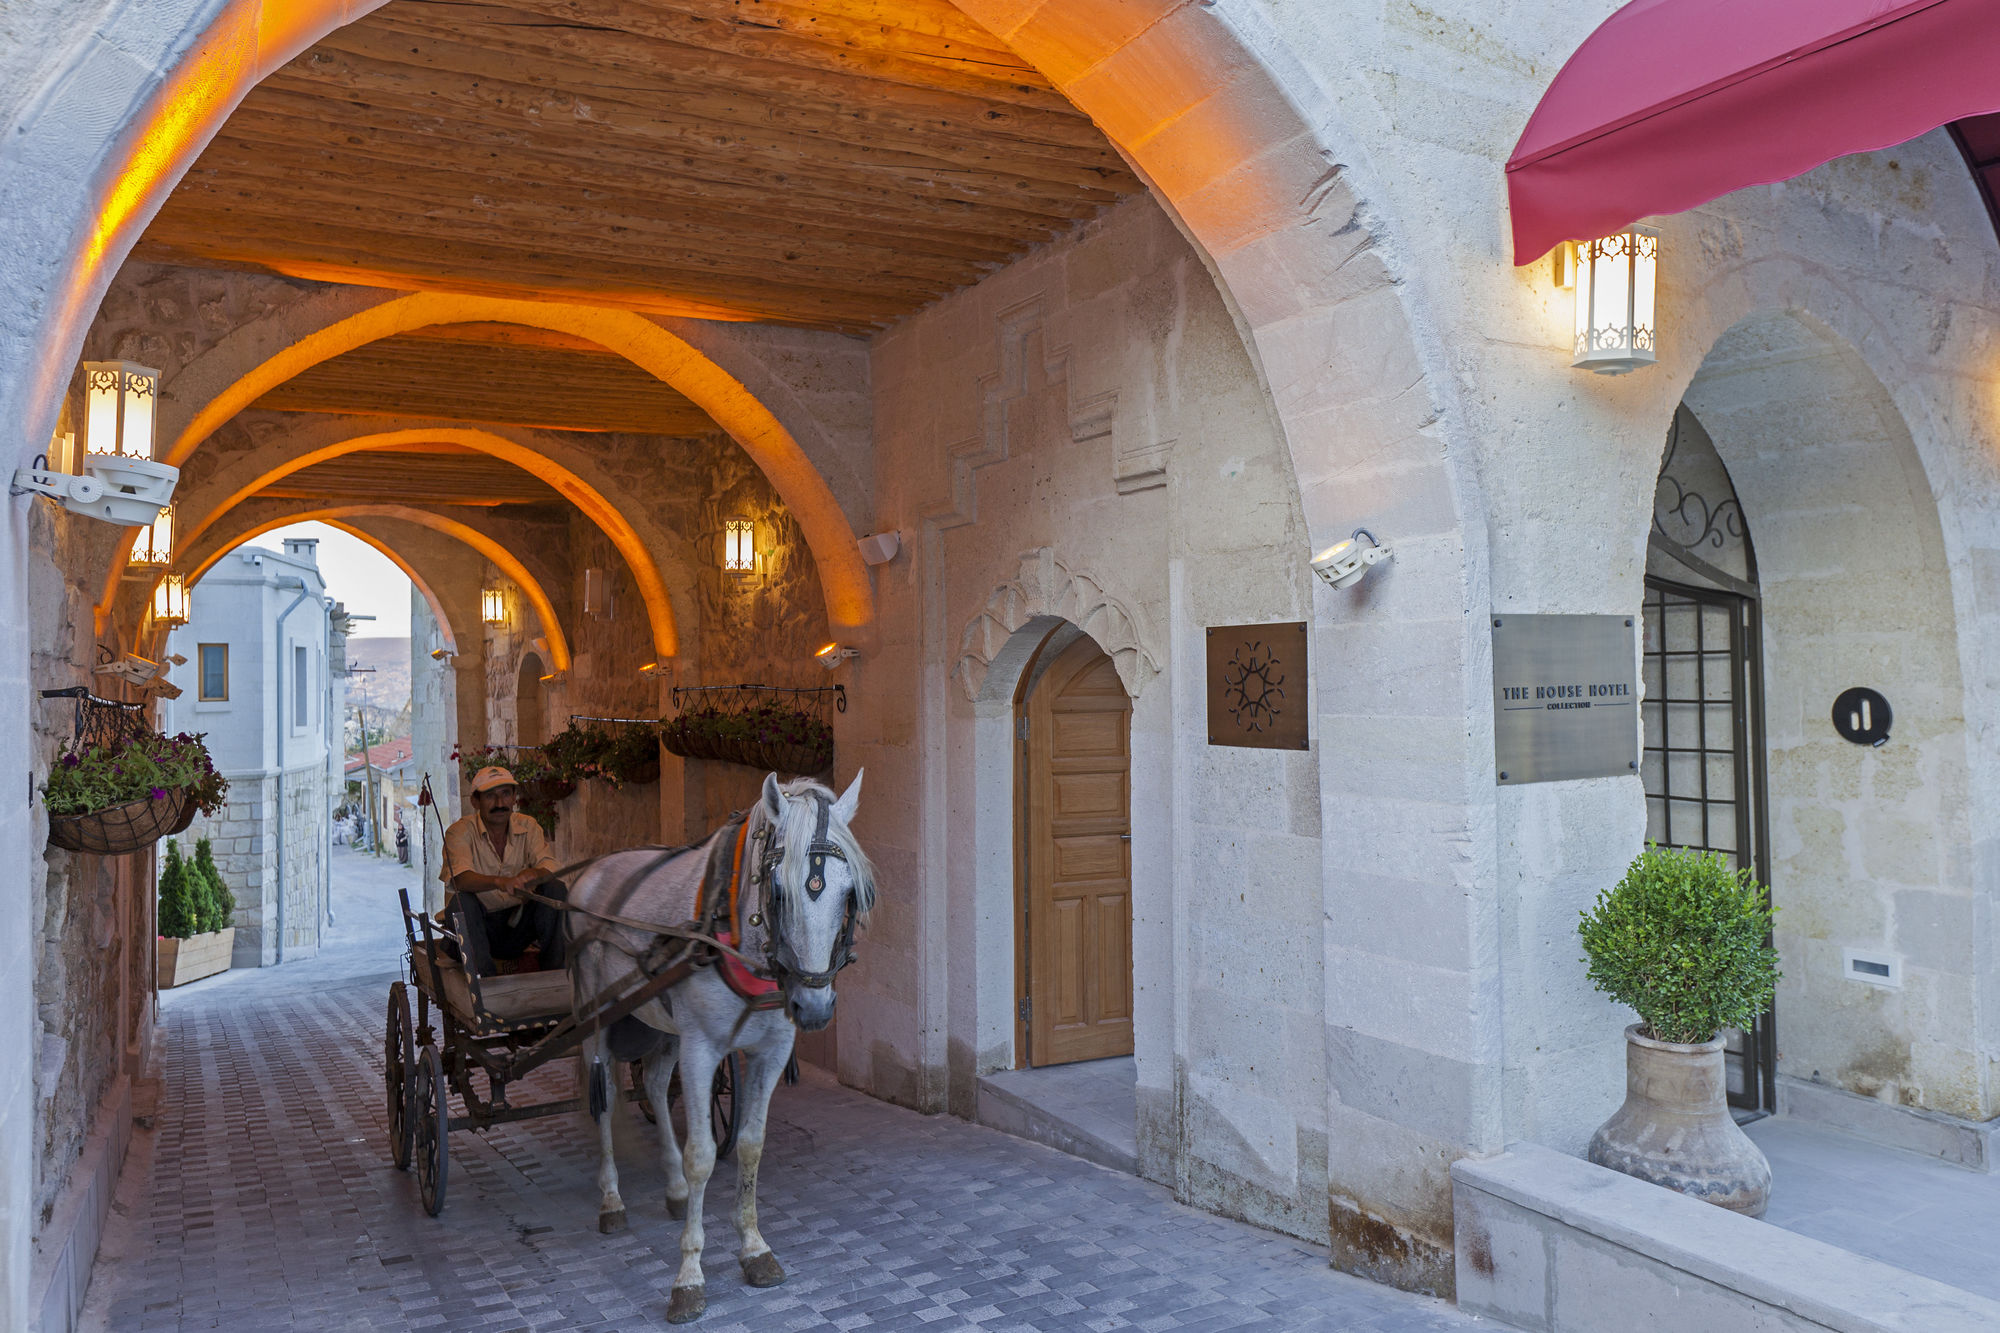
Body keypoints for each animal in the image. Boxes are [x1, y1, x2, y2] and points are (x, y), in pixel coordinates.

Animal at [568, 768, 872, 1320]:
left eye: (848, 896)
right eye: (778, 892)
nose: (814, 1008)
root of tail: (591, 872)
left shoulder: (770, 1050)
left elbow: (750, 1146)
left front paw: (753, 1247)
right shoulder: (702, 1048)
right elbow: (703, 1155)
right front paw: (689, 1274)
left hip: (664, 1026)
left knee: (655, 1082)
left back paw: (672, 1189)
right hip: (596, 1017)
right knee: (604, 1099)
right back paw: (612, 1200)